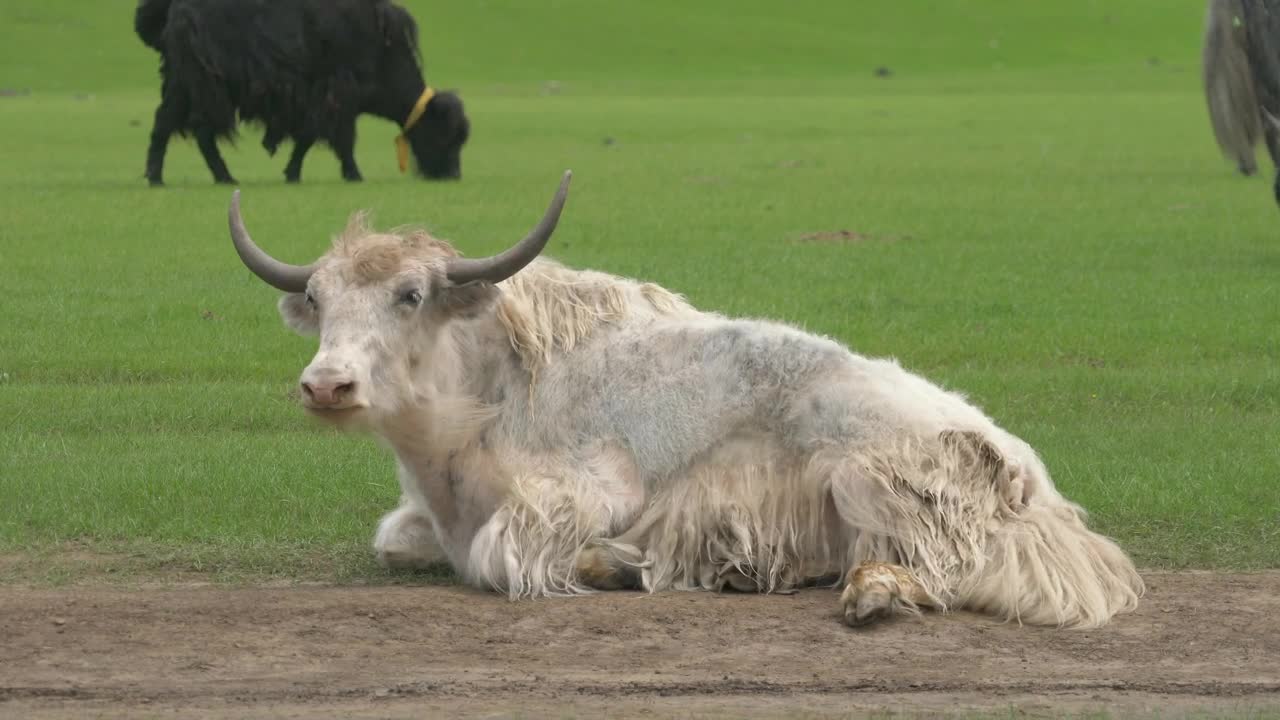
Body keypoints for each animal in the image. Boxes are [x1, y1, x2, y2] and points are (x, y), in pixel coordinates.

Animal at [134, 0, 469, 186]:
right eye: (444, 134)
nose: (452, 174)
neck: (382, 50)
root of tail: (174, 9)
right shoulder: (338, 101)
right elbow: (340, 141)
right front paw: (354, 175)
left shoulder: (323, 105)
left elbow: (307, 140)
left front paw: (292, 173)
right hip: (199, 88)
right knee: (179, 127)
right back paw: (163, 178)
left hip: (192, 90)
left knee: (189, 130)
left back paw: (215, 177)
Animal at [225, 171, 1144, 628]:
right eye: (319, 299)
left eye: (410, 294)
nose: (327, 385)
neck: (482, 397)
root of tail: (1029, 478)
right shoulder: (419, 515)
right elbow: (395, 542)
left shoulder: (586, 491)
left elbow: (495, 555)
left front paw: (614, 565)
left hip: (866, 477)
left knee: (940, 570)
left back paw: (868, 594)